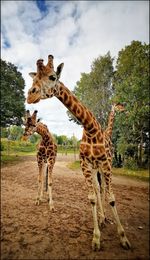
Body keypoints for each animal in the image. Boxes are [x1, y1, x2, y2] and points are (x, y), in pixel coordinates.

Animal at [26, 55, 131, 251]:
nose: (30, 95)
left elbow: (112, 197)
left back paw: (105, 217)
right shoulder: (85, 163)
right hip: (93, 167)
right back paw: (102, 218)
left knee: (104, 189)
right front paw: (96, 239)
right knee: (98, 188)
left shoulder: (106, 163)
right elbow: (91, 197)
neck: (90, 129)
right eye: (34, 77)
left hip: (103, 166)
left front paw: (123, 238)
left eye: (52, 77)